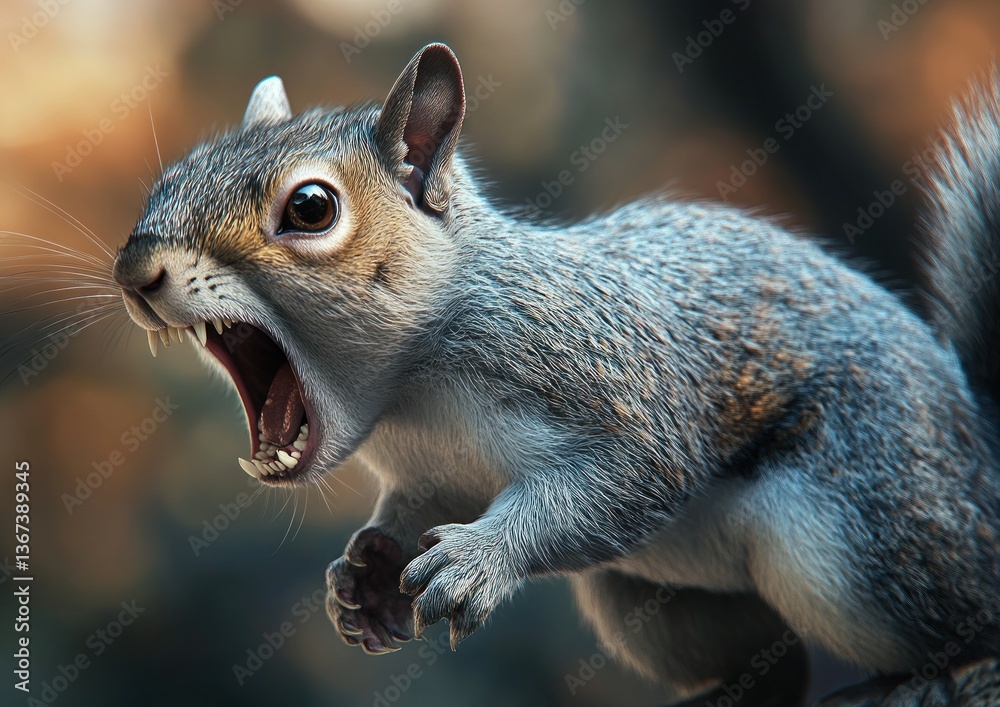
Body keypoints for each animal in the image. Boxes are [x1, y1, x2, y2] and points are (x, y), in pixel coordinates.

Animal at [111, 44, 1000, 705]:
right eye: (173, 176)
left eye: (310, 208)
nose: (133, 270)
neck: (408, 391)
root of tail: (979, 458)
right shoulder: (431, 475)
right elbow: (413, 512)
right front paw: (366, 578)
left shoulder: (602, 374)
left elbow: (630, 470)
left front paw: (476, 560)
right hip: (653, 605)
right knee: (774, 667)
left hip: (858, 541)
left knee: (959, 618)